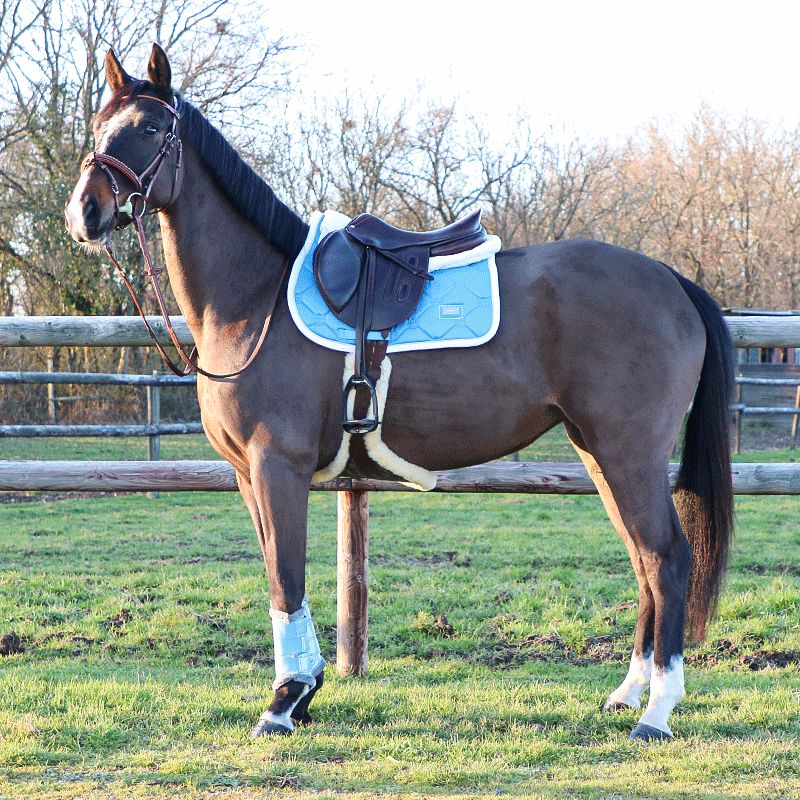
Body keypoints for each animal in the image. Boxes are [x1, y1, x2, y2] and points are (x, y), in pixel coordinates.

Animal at [65, 44, 734, 741]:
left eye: (149, 128)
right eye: (99, 127)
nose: (84, 212)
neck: (255, 299)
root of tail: (672, 280)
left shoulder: (278, 465)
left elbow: (286, 579)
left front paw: (284, 701)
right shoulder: (248, 474)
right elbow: (279, 573)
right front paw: (304, 691)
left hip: (629, 453)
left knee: (667, 558)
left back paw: (657, 710)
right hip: (598, 452)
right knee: (643, 562)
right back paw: (628, 693)